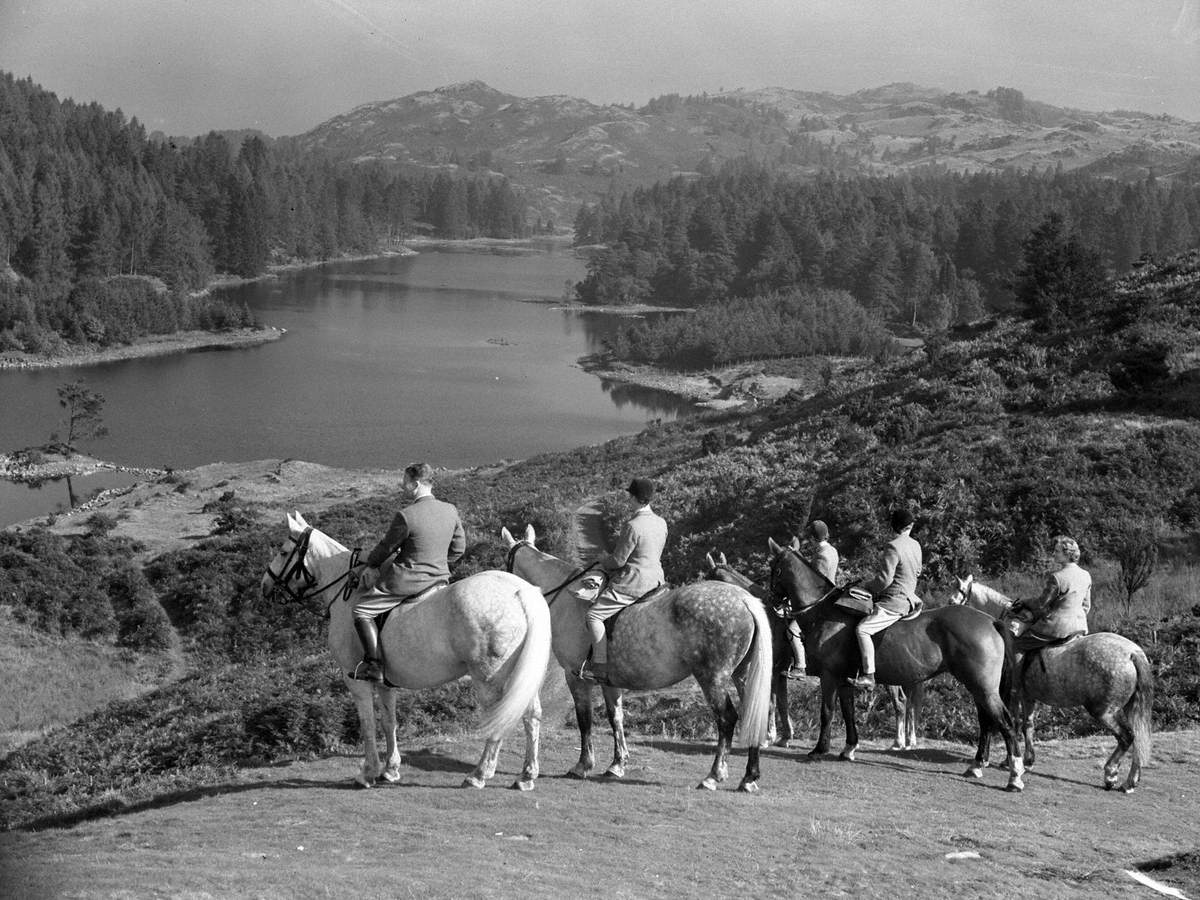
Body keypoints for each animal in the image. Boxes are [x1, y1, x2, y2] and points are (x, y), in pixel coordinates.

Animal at [262, 513, 552, 787]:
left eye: (283, 552)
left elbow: (367, 724)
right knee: (532, 714)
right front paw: (390, 769)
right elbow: (389, 722)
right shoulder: (385, 682)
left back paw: (480, 774)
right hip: (520, 675)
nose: (265, 586)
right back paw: (526, 775)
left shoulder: (354, 680)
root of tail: (518, 590)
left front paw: (368, 773)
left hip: (489, 678)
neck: (350, 592)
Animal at [501, 525, 772, 792]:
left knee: (727, 719)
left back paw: (713, 776)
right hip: (741, 676)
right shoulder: (609, 682)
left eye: (507, 562)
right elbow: (616, 718)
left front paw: (583, 765)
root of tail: (744, 599)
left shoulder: (575, 677)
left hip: (712, 678)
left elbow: (584, 720)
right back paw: (749, 777)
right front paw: (617, 764)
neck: (568, 597)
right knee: (753, 717)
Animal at [763, 540, 1027, 792]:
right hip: (979, 688)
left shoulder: (828, 677)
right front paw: (848, 749)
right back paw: (977, 766)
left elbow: (826, 711)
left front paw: (819, 750)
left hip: (982, 688)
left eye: (774, 568)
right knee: (986, 722)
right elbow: (848, 712)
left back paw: (1014, 776)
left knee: (1005, 723)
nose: (770, 603)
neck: (824, 611)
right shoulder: (844, 679)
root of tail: (991, 621)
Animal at [945, 573, 1152, 792]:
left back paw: (1111, 773)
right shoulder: (1028, 697)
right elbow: (1027, 725)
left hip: (1104, 711)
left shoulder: (1012, 693)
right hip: (1128, 707)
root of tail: (1132, 653)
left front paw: (1008, 761)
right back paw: (1130, 781)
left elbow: (1013, 723)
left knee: (1126, 737)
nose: (949, 606)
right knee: (1138, 737)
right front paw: (1027, 760)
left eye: (956, 595)